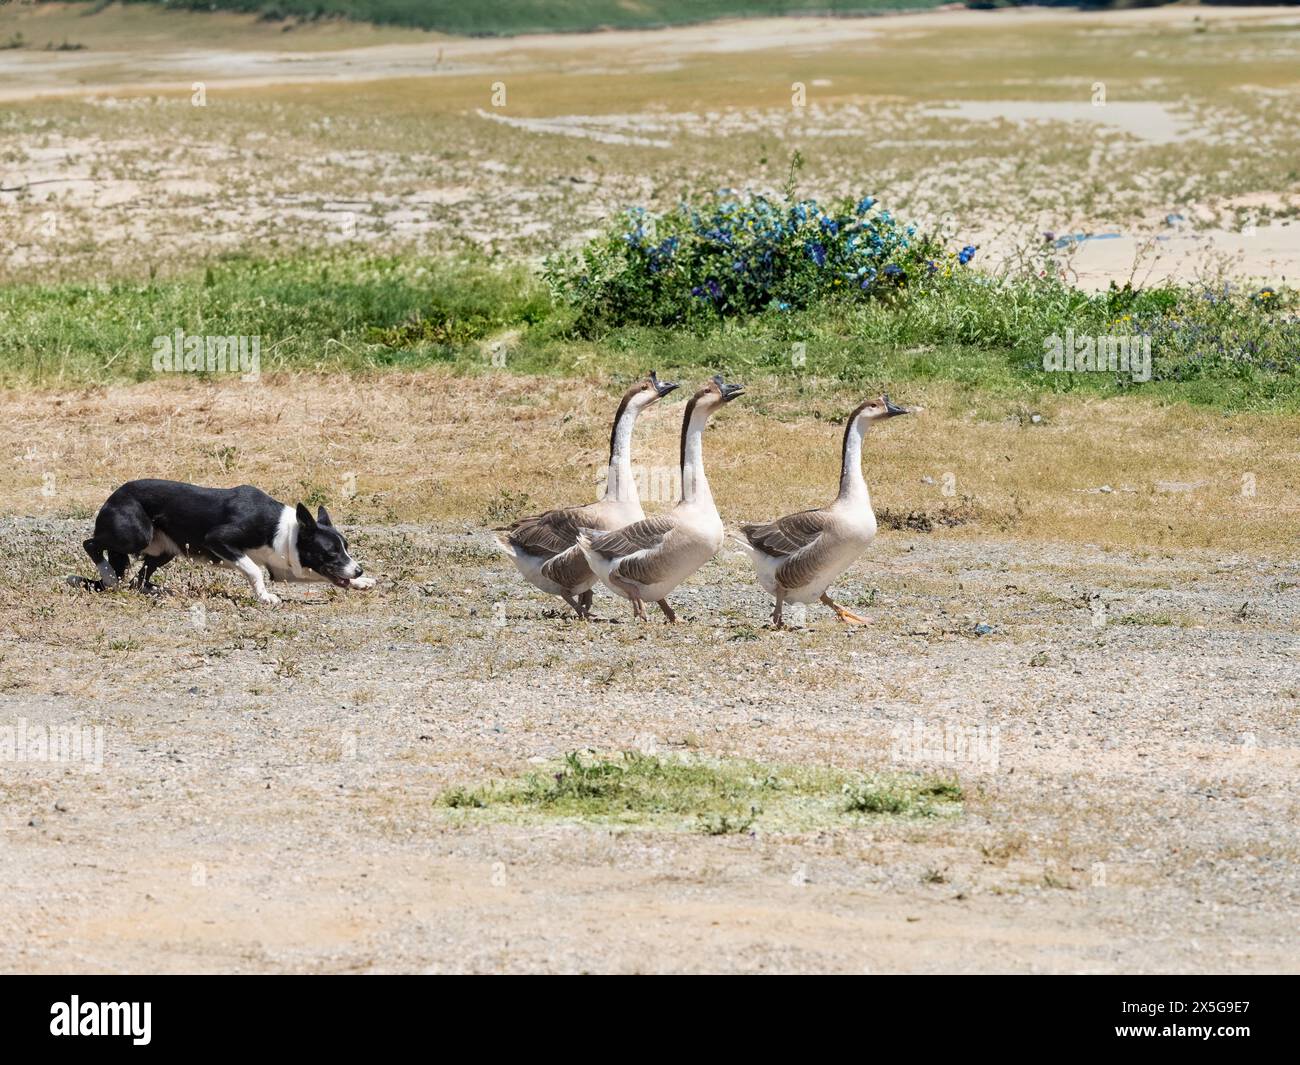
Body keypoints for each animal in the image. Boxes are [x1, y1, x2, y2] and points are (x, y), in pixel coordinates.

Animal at [71, 478, 377, 603]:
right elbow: (253, 570)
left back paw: (157, 590)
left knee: (138, 579)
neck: (283, 529)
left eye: (345, 548)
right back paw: (109, 576)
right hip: (135, 535)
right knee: (91, 544)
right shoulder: (218, 540)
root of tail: (113, 496)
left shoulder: (283, 567)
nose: (358, 569)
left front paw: (362, 582)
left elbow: (324, 577)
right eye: (331, 552)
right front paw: (265, 597)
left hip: (164, 551)